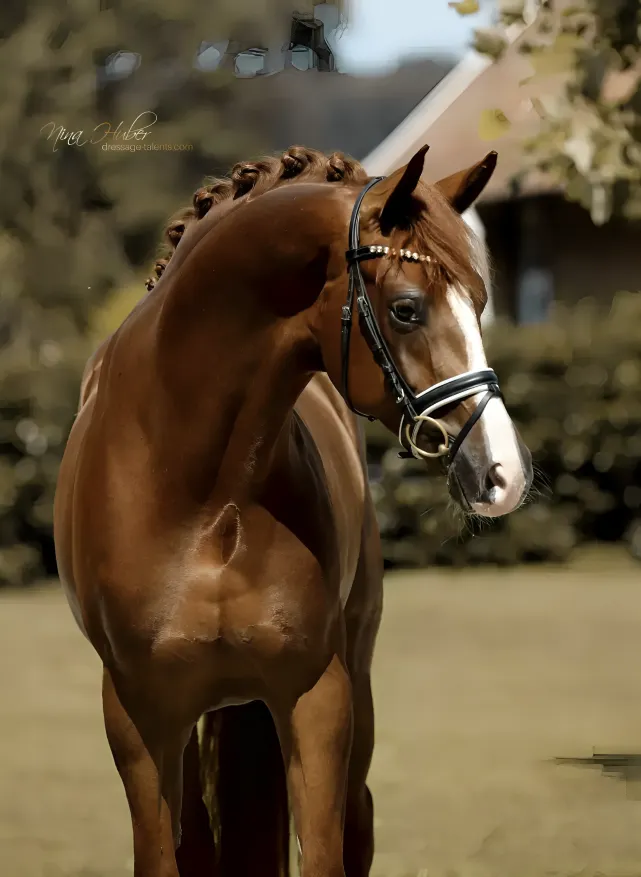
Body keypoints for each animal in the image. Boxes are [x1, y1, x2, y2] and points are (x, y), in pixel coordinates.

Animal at [54, 143, 533, 877]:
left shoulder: (315, 695)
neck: (203, 494)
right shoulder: (138, 713)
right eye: (405, 309)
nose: (501, 472)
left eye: (480, 302)